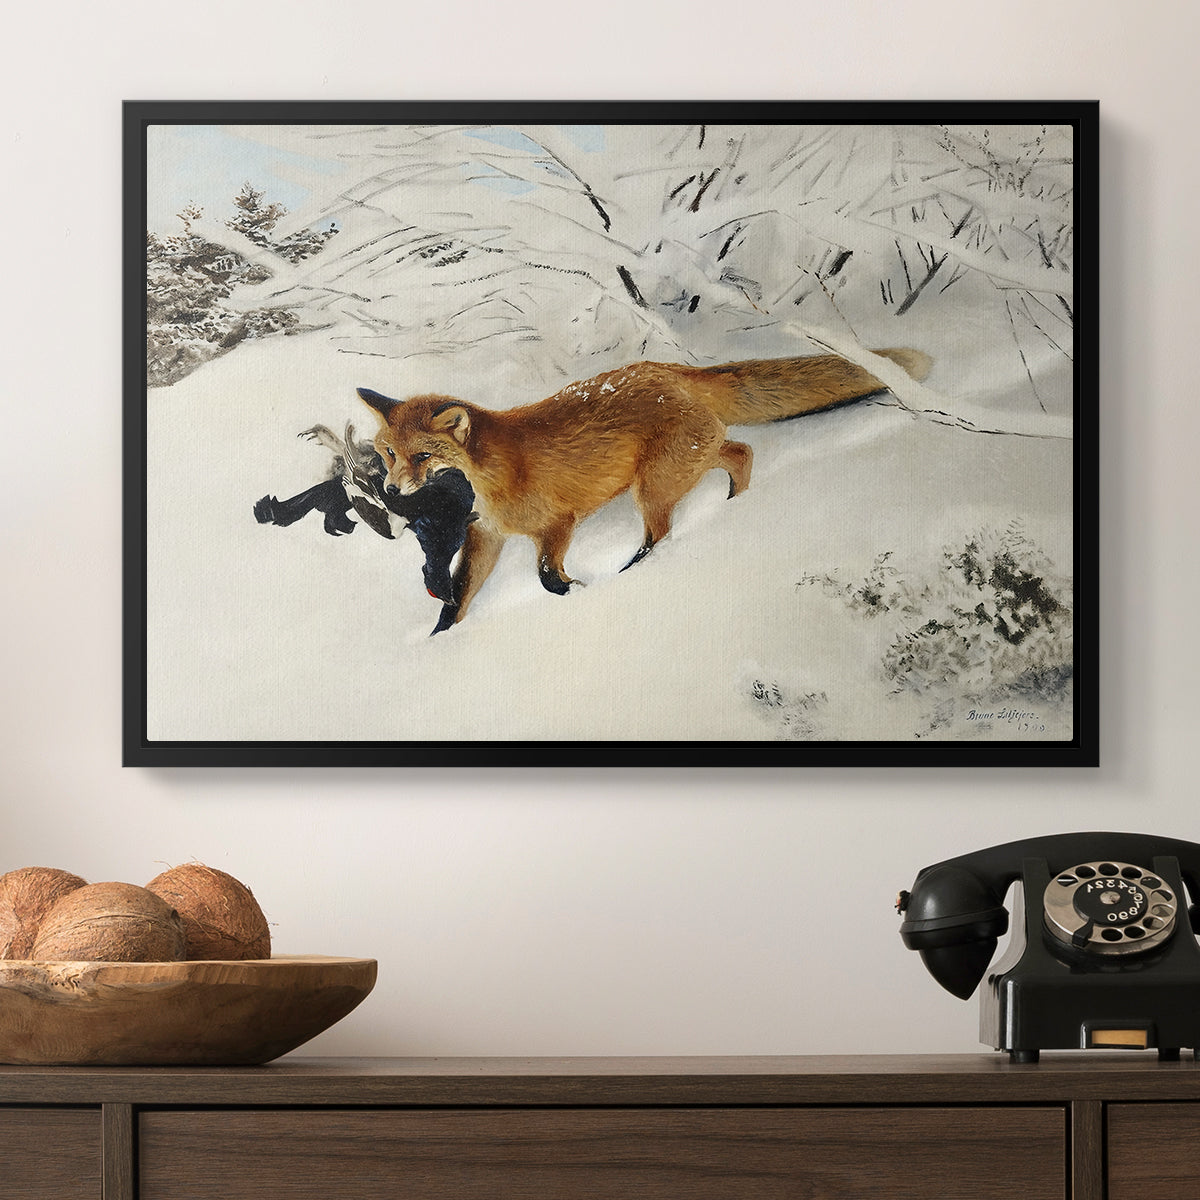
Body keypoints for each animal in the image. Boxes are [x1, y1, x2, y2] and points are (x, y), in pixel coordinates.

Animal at [358, 347, 932, 633]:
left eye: (422, 457)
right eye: (388, 453)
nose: (391, 489)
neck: (491, 476)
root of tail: (670, 369)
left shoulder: (557, 524)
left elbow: (546, 577)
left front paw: (578, 592)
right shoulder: (487, 537)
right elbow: (458, 598)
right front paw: (440, 641)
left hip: (653, 487)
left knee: (662, 533)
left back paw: (637, 570)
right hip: (686, 463)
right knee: (741, 452)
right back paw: (735, 506)